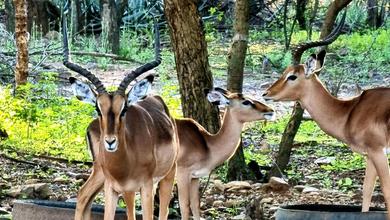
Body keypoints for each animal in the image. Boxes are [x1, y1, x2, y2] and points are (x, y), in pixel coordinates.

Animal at [63, 14, 179, 220]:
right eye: (98, 108)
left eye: (124, 109)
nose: (110, 142)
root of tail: (157, 100)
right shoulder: (113, 189)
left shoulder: (145, 187)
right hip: (113, 181)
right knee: (84, 194)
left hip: (166, 176)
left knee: (164, 210)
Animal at [174, 87, 274, 218]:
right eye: (246, 101)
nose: (270, 111)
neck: (207, 145)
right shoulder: (183, 174)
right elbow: (184, 206)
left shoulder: (195, 177)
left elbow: (195, 205)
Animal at [262, 11, 390, 215]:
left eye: (292, 76)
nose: (266, 94)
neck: (350, 112)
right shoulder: (369, 155)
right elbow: (367, 192)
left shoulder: (378, 152)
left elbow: (386, 191)